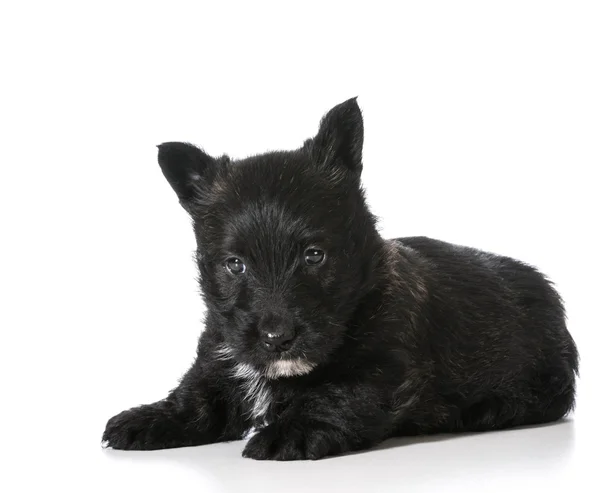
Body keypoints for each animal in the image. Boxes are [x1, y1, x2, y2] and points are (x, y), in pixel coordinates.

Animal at [104, 98, 580, 460]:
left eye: (314, 255)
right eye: (234, 264)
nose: (277, 339)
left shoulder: (383, 365)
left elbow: (337, 394)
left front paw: (289, 432)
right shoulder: (221, 354)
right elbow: (196, 396)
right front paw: (149, 418)